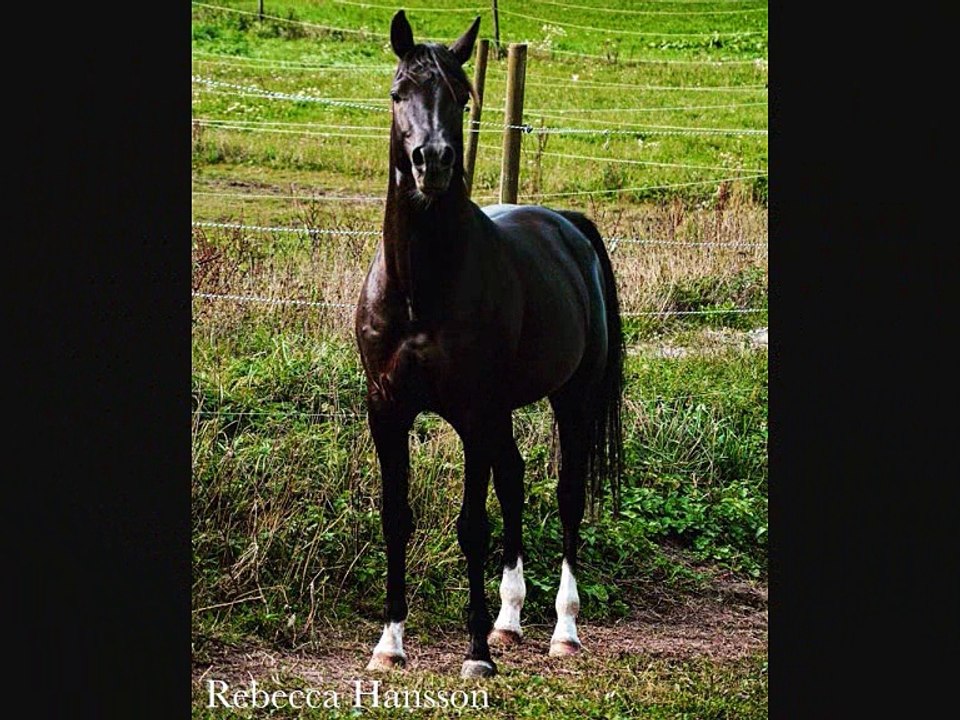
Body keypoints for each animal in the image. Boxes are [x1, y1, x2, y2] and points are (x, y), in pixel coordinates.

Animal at [354, 10, 624, 679]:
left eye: (462, 95)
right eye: (399, 91)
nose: (432, 160)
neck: (421, 290)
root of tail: (567, 227)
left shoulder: (473, 414)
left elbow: (472, 526)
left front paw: (474, 653)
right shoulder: (387, 410)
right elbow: (397, 518)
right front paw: (390, 643)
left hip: (571, 401)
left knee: (568, 494)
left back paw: (563, 629)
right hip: (504, 411)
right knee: (516, 481)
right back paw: (509, 619)